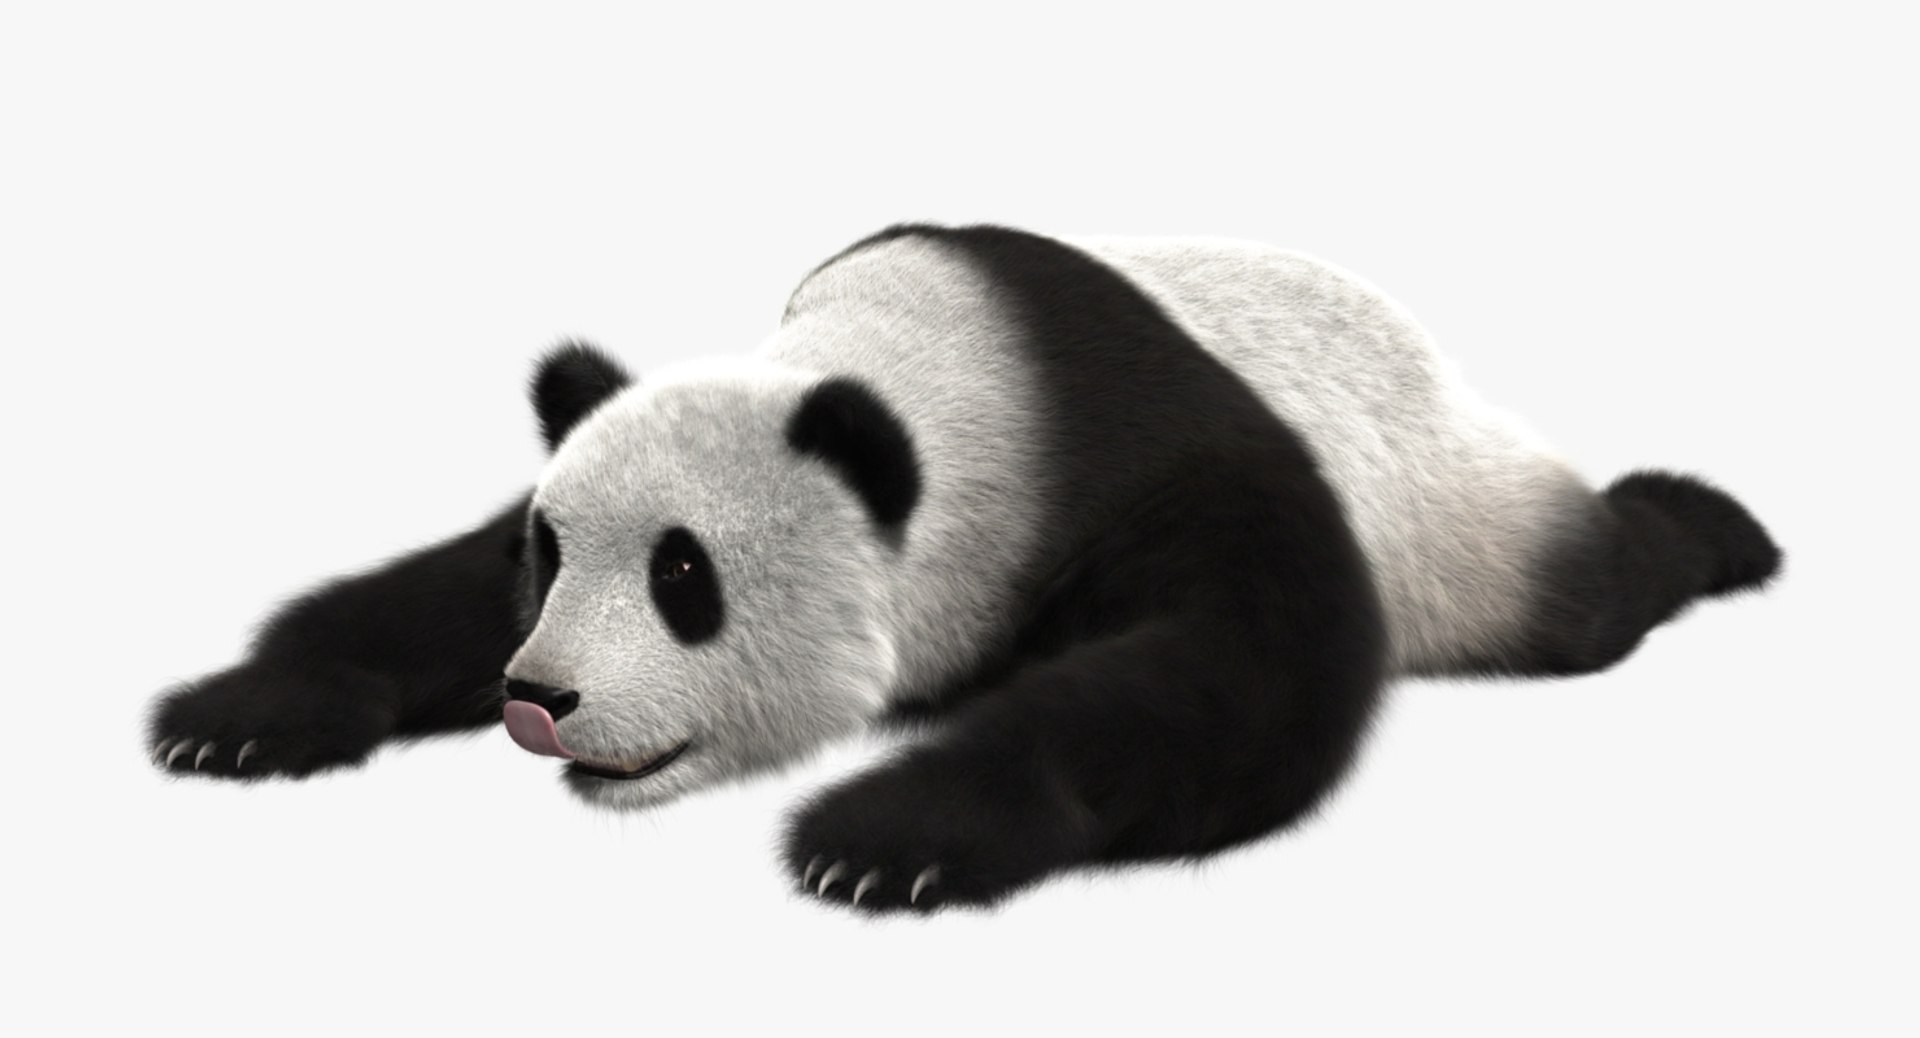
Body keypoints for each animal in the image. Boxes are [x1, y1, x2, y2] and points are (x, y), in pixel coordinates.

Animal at [146, 223, 1783, 912]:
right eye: (556, 556)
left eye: (685, 575)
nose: (538, 699)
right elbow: (428, 592)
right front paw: (240, 713)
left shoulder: (1162, 451)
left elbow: (1239, 673)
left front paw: (885, 834)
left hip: (1455, 512)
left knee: (1577, 588)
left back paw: (1708, 524)